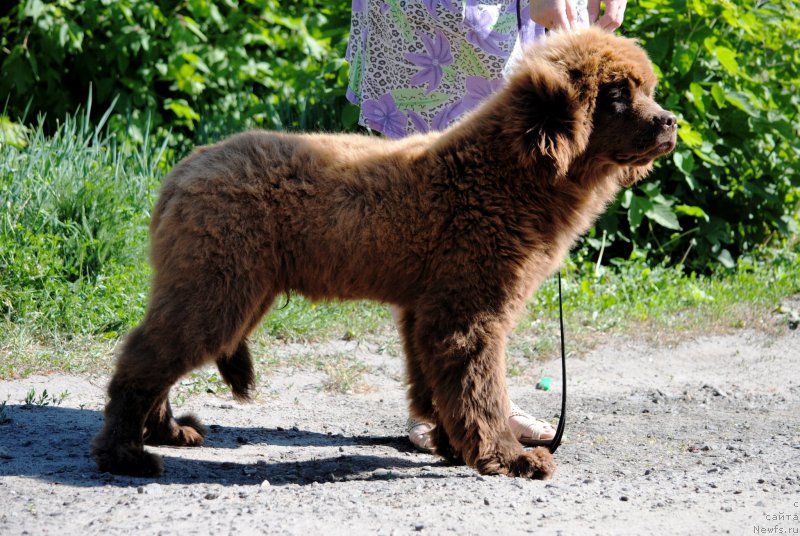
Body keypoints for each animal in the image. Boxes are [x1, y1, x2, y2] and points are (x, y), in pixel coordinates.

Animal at [97, 28, 680, 478]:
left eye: (646, 90)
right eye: (617, 96)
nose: (671, 122)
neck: (505, 175)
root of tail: (180, 174)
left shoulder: (427, 307)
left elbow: (435, 384)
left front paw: (451, 446)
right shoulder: (468, 308)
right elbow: (481, 389)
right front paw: (510, 458)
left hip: (226, 287)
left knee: (159, 354)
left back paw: (168, 432)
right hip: (218, 285)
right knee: (144, 358)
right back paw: (127, 454)